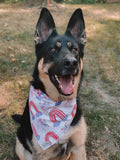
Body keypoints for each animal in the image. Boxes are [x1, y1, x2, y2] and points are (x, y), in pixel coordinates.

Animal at [12, 7, 86, 160]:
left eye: (74, 50)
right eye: (53, 50)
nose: (71, 63)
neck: (58, 102)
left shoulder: (78, 148)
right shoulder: (42, 154)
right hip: (21, 146)